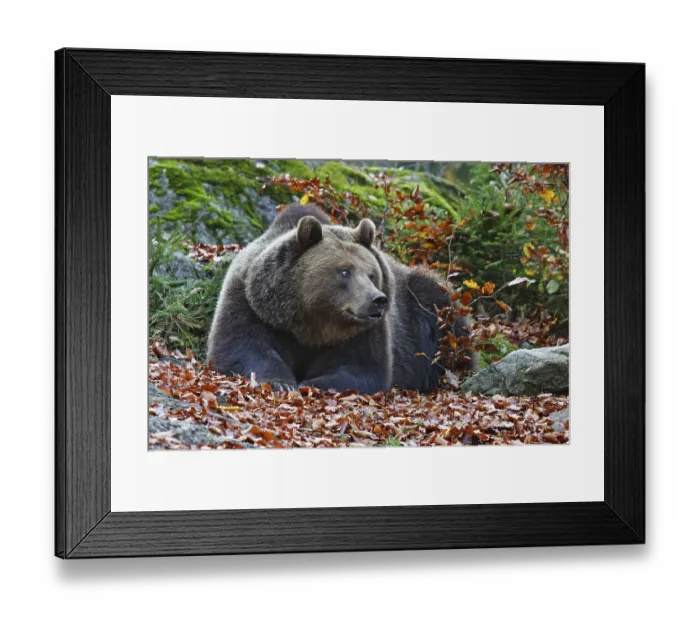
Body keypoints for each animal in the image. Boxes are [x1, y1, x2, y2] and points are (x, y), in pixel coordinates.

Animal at [206, 204, 469, 393]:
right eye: (345, 271)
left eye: (371, 274)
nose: (378, 300)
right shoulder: (252, 306)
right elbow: (243, 347)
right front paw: (282, 382)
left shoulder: (365, 333)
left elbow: (363, 369)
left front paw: (310, 383)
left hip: (425, 308)